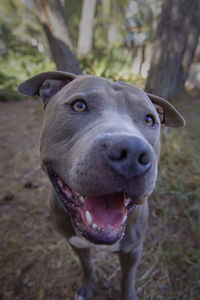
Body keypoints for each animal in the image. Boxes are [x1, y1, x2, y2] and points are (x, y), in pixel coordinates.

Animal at [18, 72, 185, 300]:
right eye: (79, 105)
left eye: (150, 119)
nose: (132, 152)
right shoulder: (76, 244)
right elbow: (87, 266)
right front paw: (86, 288)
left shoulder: (132, 250)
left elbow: (127, 277)